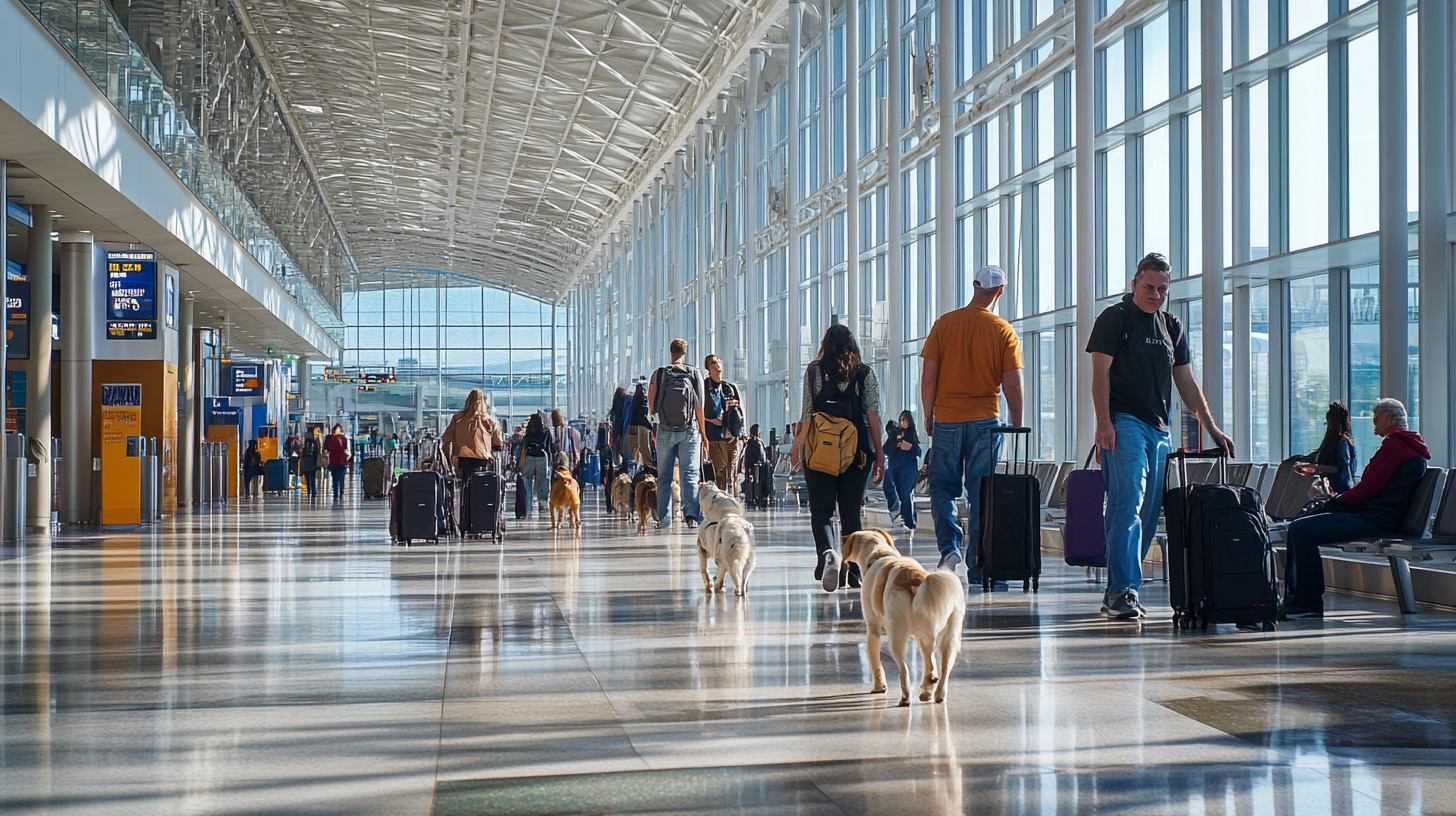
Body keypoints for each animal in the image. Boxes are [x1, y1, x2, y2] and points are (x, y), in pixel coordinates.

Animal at [844, 533, 966, 705]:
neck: (880, 554)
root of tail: (920, 579)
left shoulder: (873, 631)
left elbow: (875, 663)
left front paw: (879, 687)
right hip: (946, 636)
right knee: (939, 669)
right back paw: (933, 693)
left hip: (898, 635)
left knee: (904, 671)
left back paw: (906, 698)